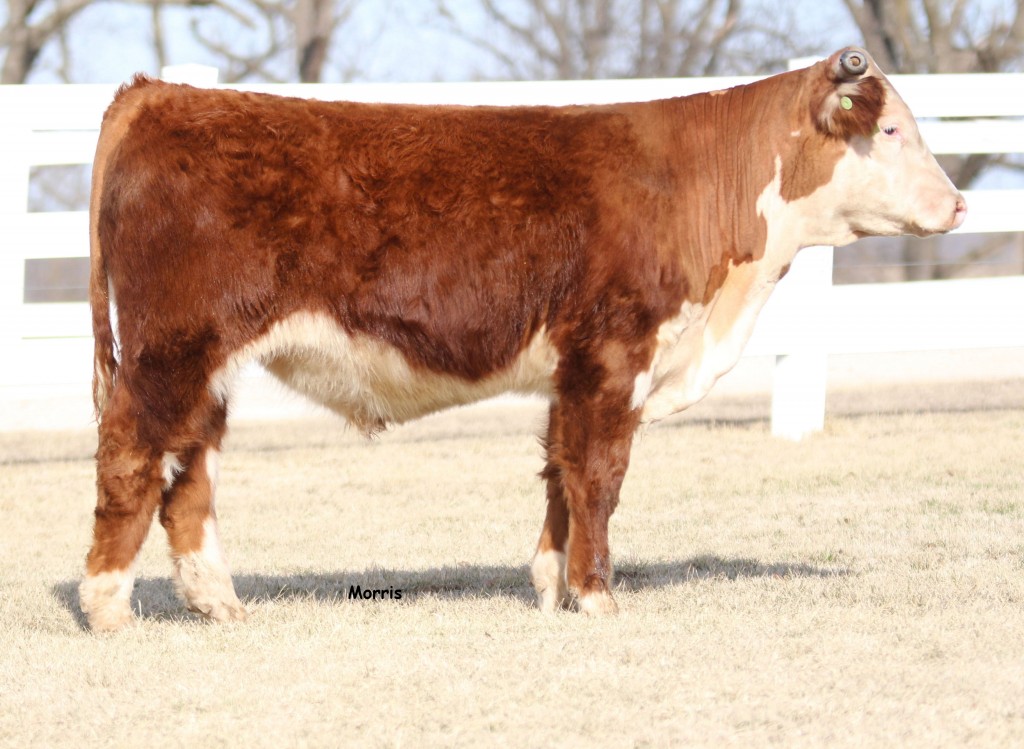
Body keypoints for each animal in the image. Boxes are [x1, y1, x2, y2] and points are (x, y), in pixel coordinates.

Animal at [81, 48, 966, 631]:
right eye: (891, 130)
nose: (959, 204)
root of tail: (158, 94)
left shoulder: (572, 370)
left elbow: (559, 472)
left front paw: (552, 585)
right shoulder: (615, 353)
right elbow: (599, 474)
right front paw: (599, 595)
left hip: (206, 364)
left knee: (189, 471)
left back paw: (219, 602)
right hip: (170, 348)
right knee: (131, 456)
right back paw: (108, 606)